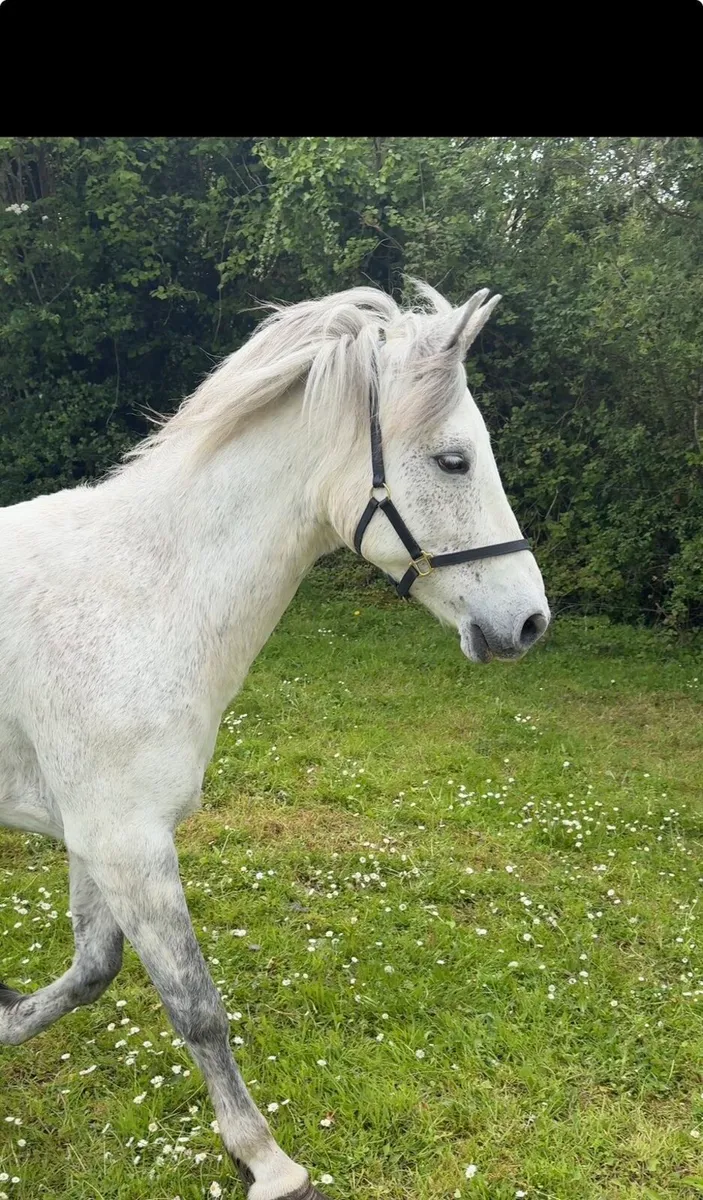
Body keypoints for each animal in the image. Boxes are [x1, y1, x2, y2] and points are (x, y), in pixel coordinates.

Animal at [0, 282, 549, 1200]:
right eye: (452, 461)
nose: (530, 622)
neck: (143, 594)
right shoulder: (126, 841)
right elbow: (196, 1009)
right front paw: (266, 1159)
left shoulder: (98, 837)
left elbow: (90, 973)